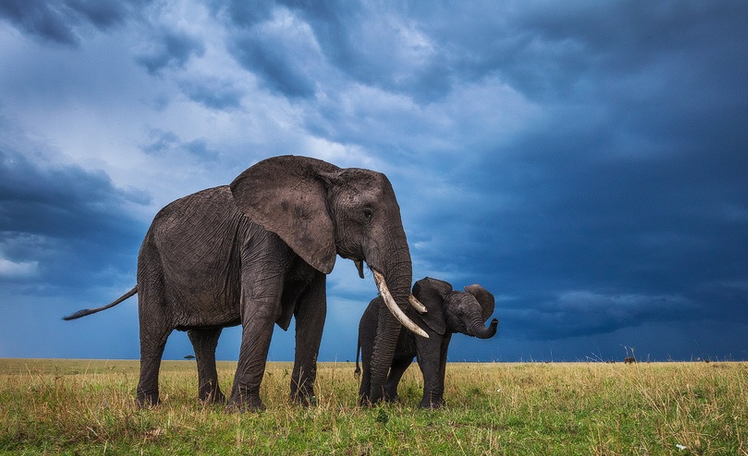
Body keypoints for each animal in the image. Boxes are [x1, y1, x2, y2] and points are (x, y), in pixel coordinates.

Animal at [64, 155, 426, 412]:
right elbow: (263, 304)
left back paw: (211, 404)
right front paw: (247, 411)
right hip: (150, 259)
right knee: (154, 330)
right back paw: (149, 407)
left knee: (204, 337)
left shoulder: (315, 239)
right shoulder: (261, 235)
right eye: (366, 213)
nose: (371, 404)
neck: (329, 172)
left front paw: (304, 407)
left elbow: (315, 314)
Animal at [356, 276, 496, 408]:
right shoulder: (423, 322)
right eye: (460, 314)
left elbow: (441, 360)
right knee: (368, 364)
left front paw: (441, 405)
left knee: (400, 366)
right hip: (368, 327)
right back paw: (364, 405)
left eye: (481, 311)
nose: (495, 321)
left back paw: (393, 403)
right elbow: (429, 358)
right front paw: (430, 408)